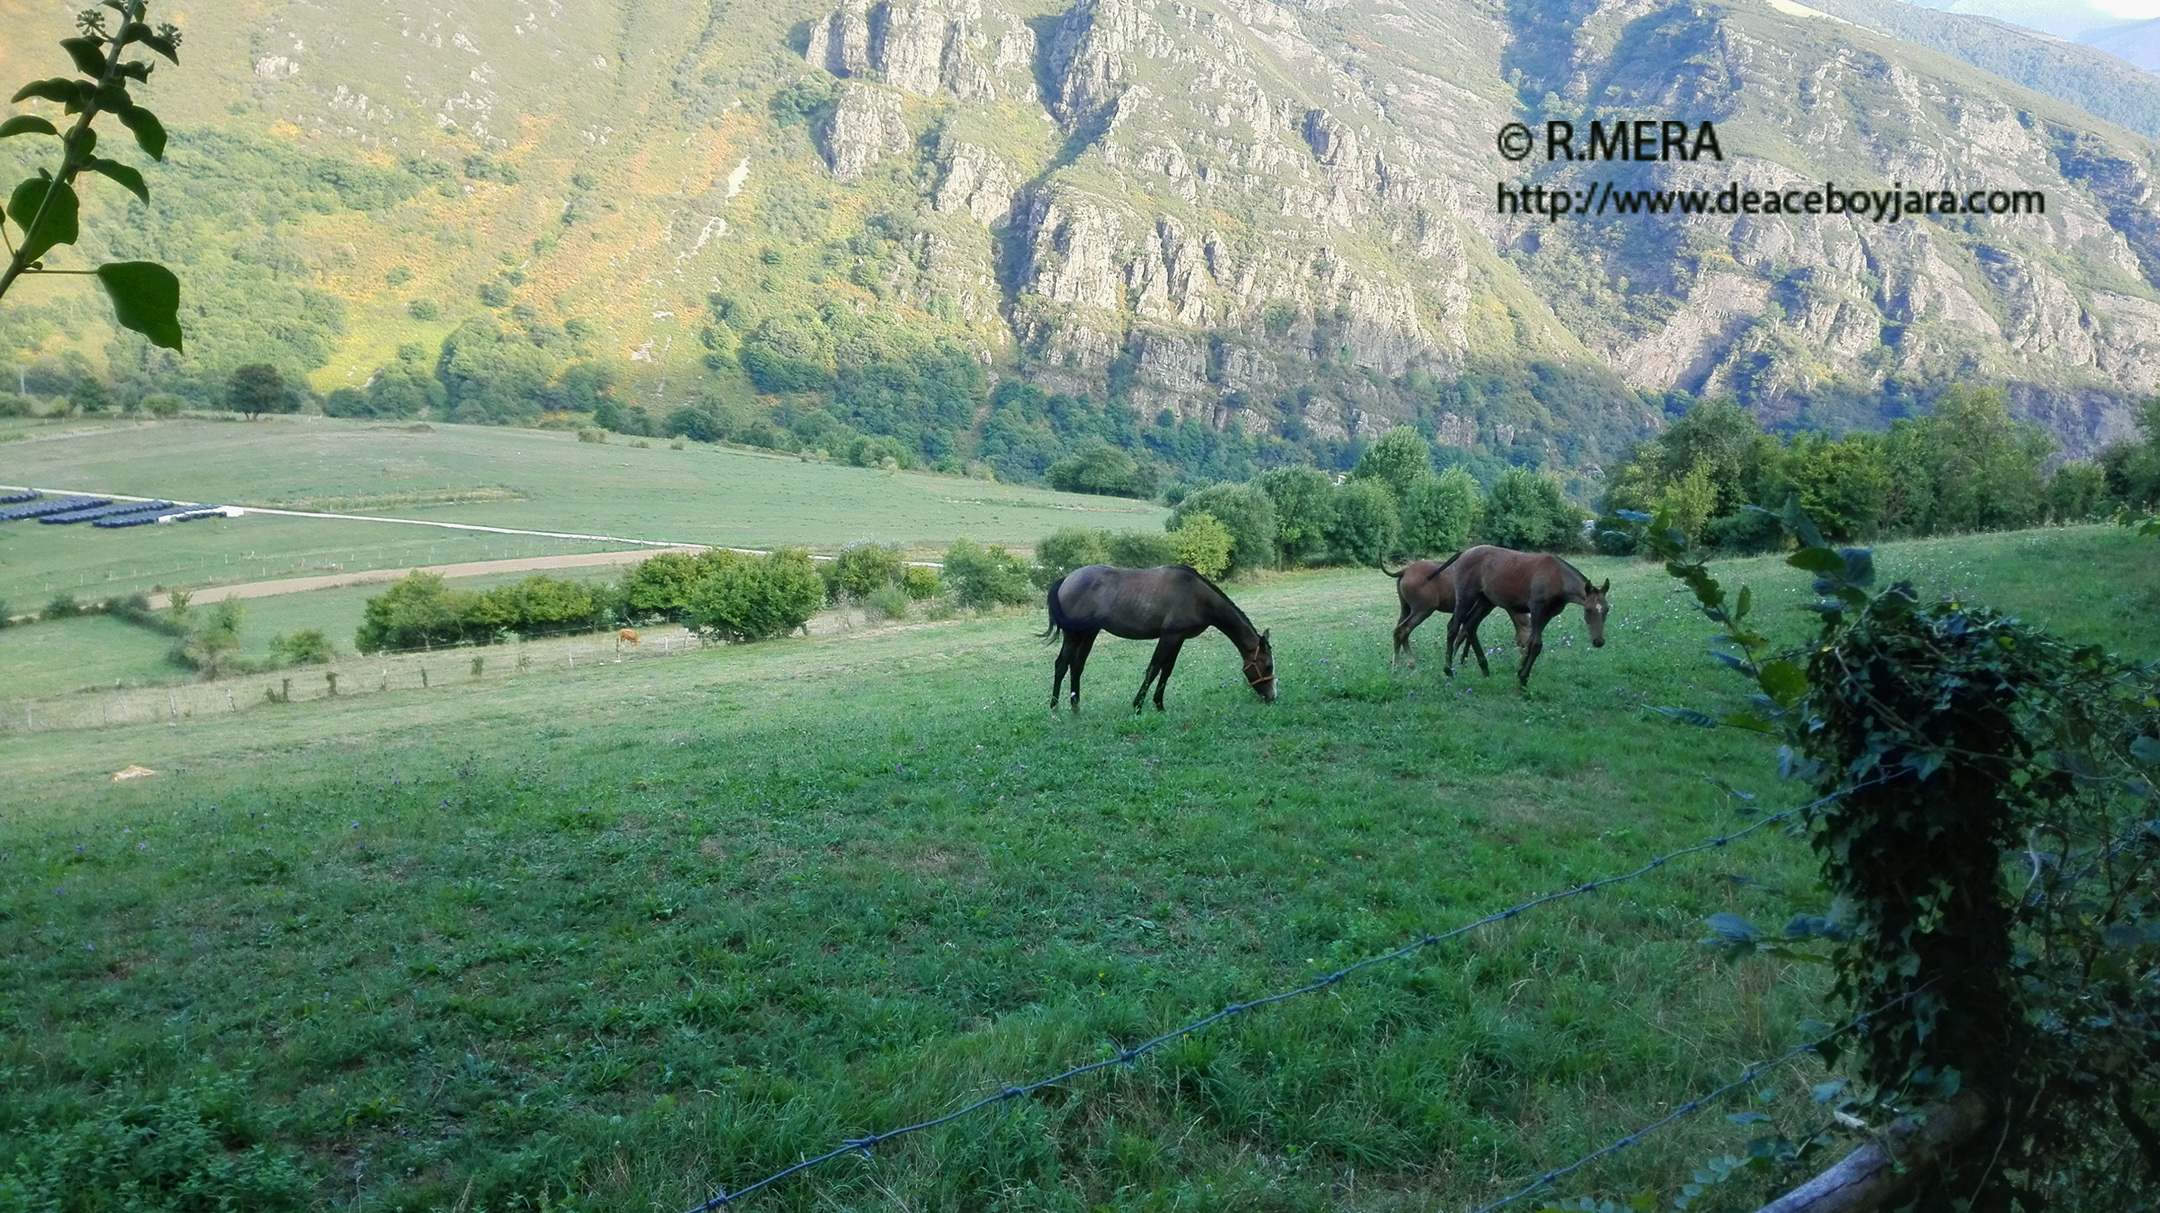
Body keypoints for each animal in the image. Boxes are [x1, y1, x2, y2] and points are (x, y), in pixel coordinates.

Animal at [1041, 565, 1270, 712]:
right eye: (1267, 666)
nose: (1271, 696)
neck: (1196, 595)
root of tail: (1066, 579)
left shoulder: (1178, 638)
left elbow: (1166, 671)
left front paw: (1159, 705)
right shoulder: (1169, 637)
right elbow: (1153, 670)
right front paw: (1138, 705)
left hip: (1089, 633)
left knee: (1077, 666)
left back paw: (1076, 706)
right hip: (1074, 634)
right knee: (1061, 664)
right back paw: (1055, 709)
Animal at [1391, 556, 1529, 669]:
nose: (1524, 660)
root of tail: (1404, 571)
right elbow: (1463, 633)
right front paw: (1458, 660)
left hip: (1406, 609)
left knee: (1397, 632)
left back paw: (1397, 667)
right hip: (1422, 610)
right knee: (1403, 630)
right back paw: (1410, 666)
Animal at [1442, 543, 1615, 686]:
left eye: (1607, 609)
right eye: (1588, 610)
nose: (1598, 641)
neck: (1557, 578)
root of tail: (1464, 553)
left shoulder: (1547, 615)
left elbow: (1530, 643)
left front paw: (1520, 671)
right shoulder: (1537, 610)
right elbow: (1537, 645)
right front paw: (1523, 679)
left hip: (1487, 601)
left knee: (1470, 625)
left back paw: (1485, 668)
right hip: (1466, 597)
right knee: (1453, 627)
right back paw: (1448, 670)